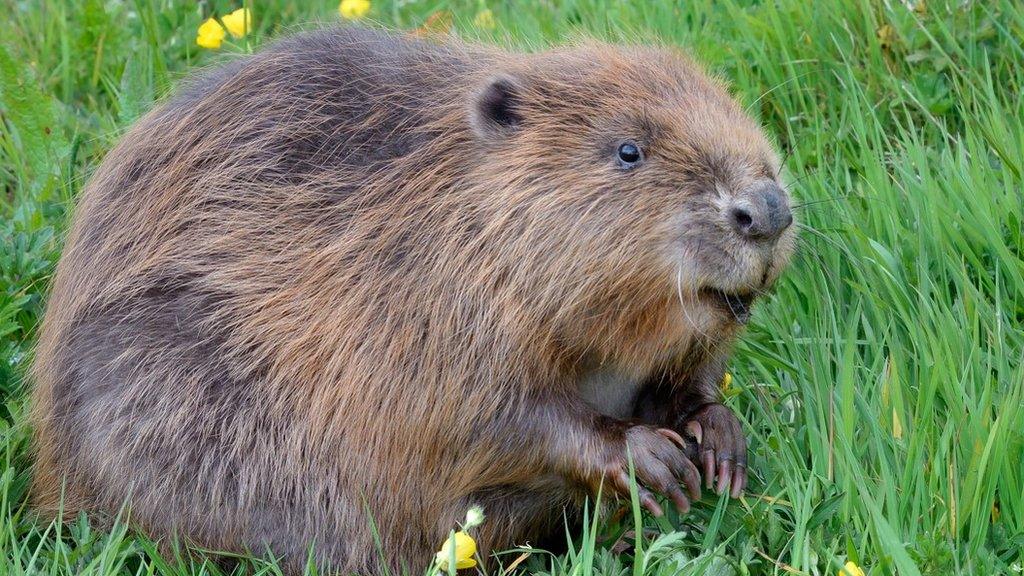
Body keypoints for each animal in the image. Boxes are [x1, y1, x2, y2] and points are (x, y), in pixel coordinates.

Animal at [28, 25, 794, 573]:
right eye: (628, 150)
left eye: (729, 108)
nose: (767, 209)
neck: (454, 206)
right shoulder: (417, 304)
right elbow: (480, 416)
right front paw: (652, 460)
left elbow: (686, 375)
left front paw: (718, 442)